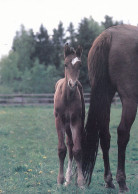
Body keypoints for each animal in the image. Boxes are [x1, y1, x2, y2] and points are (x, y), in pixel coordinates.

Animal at [82, 24, 137, 192]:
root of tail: (109, 34)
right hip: (130, 99)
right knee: (122, 133)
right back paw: (122, 182)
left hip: (105, 95)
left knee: (105, 135)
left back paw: (109, 180)